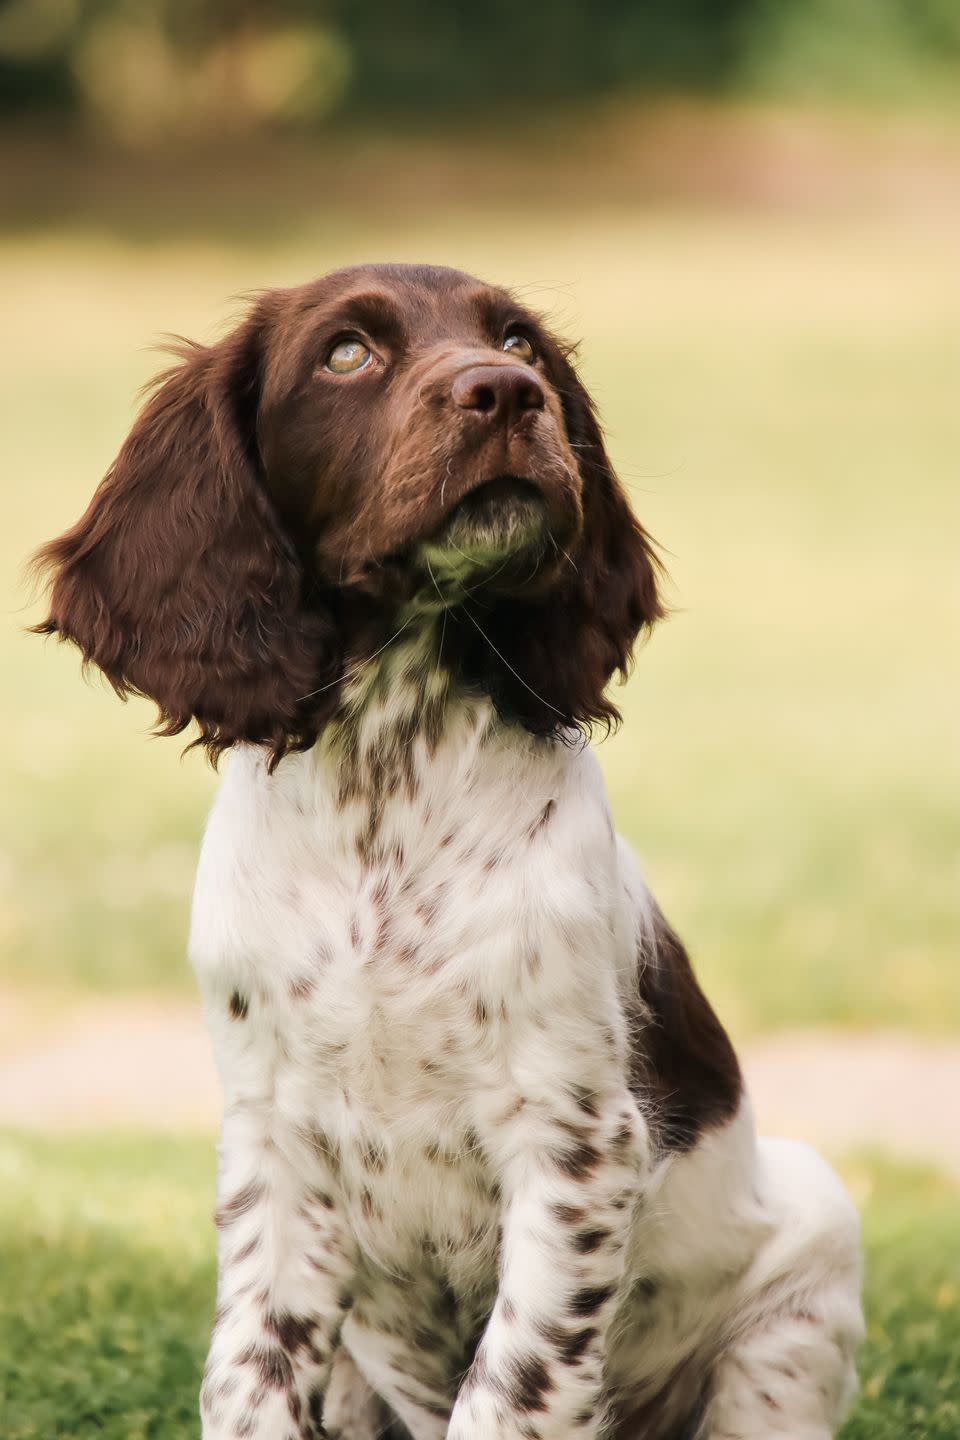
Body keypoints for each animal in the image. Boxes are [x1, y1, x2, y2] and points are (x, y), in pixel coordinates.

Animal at [33, 264, 869, 1434]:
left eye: (519, 340)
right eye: (346, 354)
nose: (510, 394)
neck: (389, 781)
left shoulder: (573, 1136)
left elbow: (515, 1386)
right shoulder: (271, 1138)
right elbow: (247, 1375)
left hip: (810, 1248)